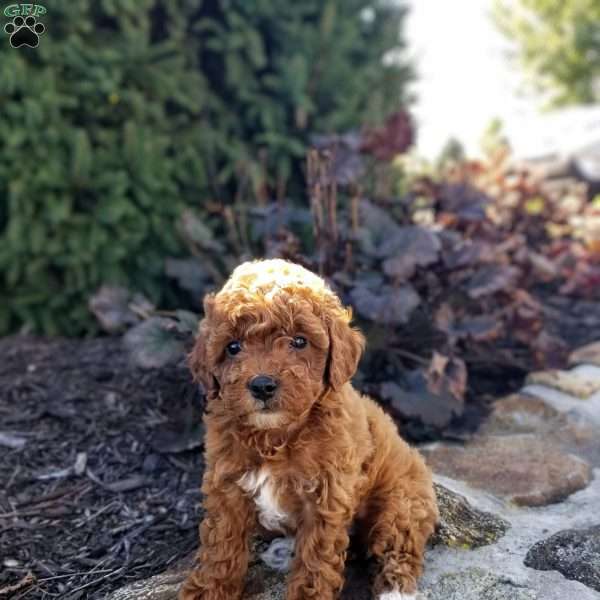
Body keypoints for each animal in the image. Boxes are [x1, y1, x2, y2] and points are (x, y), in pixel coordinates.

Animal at [178, 258, 436, 600]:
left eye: (299, 341)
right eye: (233, 347)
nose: (262, 385)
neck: (274, 437)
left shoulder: (326, 498)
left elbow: (315, 561)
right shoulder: (227, 486)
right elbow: (221, 547)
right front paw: (208, 590)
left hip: (403, 500)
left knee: (398, 544)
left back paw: (396, 589)